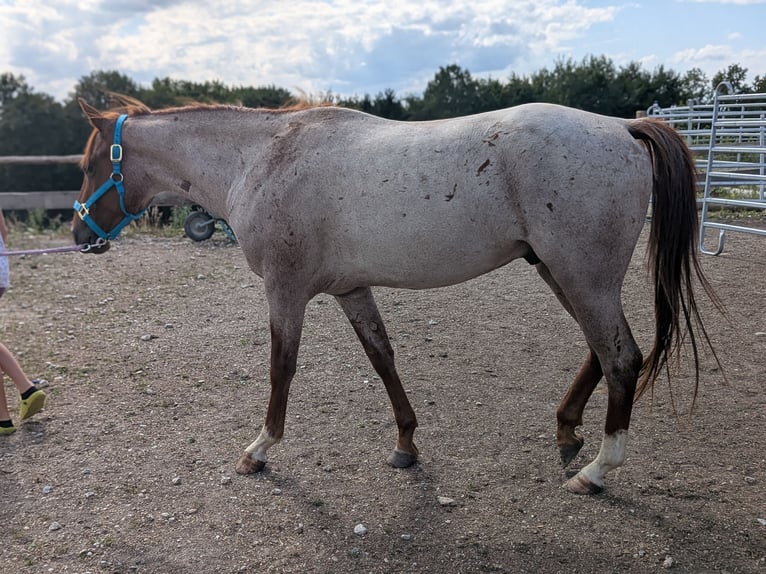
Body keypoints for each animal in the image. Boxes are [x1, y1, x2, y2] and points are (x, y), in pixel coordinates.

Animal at [72, 96, 720, 495]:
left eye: (89, 163)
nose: (80, 236)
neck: (263, 157)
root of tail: (622, 127)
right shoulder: (351, 289)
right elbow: (382, 358)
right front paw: (406, 442)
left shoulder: (286, 291)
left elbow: (282, 367)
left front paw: (261, 448)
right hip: (564, 274)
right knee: (601, 351)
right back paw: (567, 429)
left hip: (581, 275)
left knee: (622, 358)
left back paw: (597, 471)